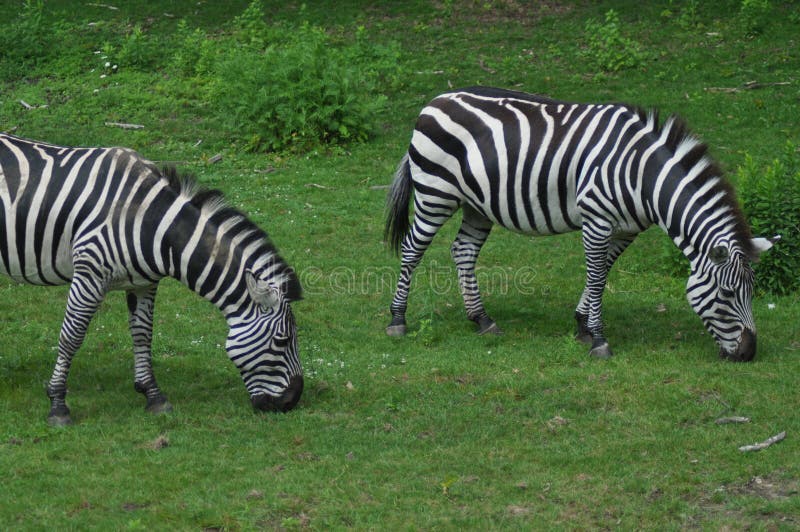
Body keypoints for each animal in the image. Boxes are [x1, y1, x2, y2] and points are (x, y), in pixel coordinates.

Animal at [0, 133, 304, 424]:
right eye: (282, 340)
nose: (292, 402)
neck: (150, 221)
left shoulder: (144, 283)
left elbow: (143, 334)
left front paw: (153, 395)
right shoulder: (89, 272)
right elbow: (71, 337)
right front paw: (58, 404)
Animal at [384, 87, 780, 362]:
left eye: (752, 292)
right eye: (727, 294)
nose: (749, 354)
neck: (643, 176)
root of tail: (435, 100)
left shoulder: (626, 229)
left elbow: (602, 272)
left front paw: (582, 325)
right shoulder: (597, 219)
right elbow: (596, 275)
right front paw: (599, 339)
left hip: (476, 204)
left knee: (463, 250)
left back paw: (481, 319)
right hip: (435, 193)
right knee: (412, 249)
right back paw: (397, 320)